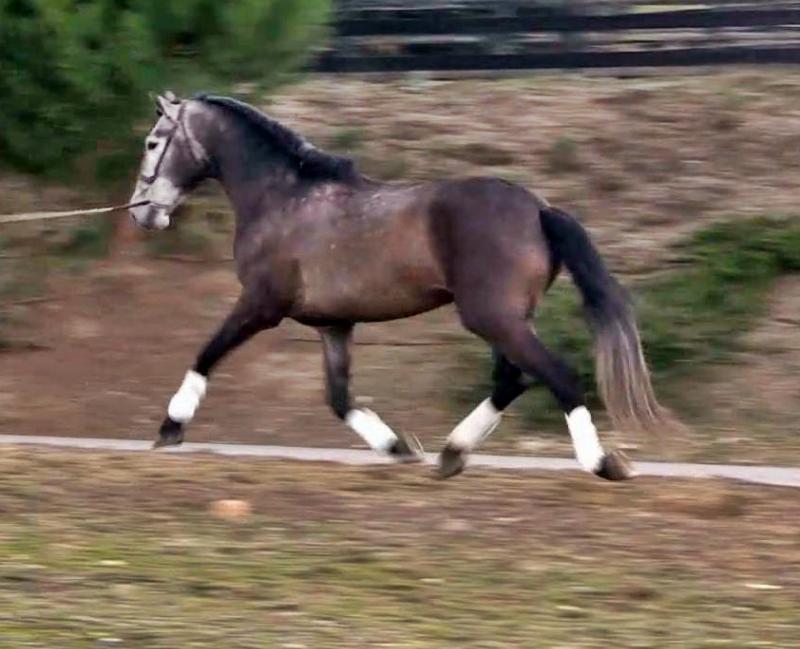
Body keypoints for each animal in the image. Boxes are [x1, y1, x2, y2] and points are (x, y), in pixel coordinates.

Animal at [129, 91, 674, 481]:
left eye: (154, 142)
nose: (141, 214)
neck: (283, 197)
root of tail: (540, 209)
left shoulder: (261, 305)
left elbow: (207, 354)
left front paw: (169, 428)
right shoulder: (333, 324)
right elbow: (340, 398)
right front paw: (397, 448)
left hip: (491, 317)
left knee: (554, 374)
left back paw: (602, 463)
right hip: (505, 318)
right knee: (512, 380)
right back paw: (451, 454)